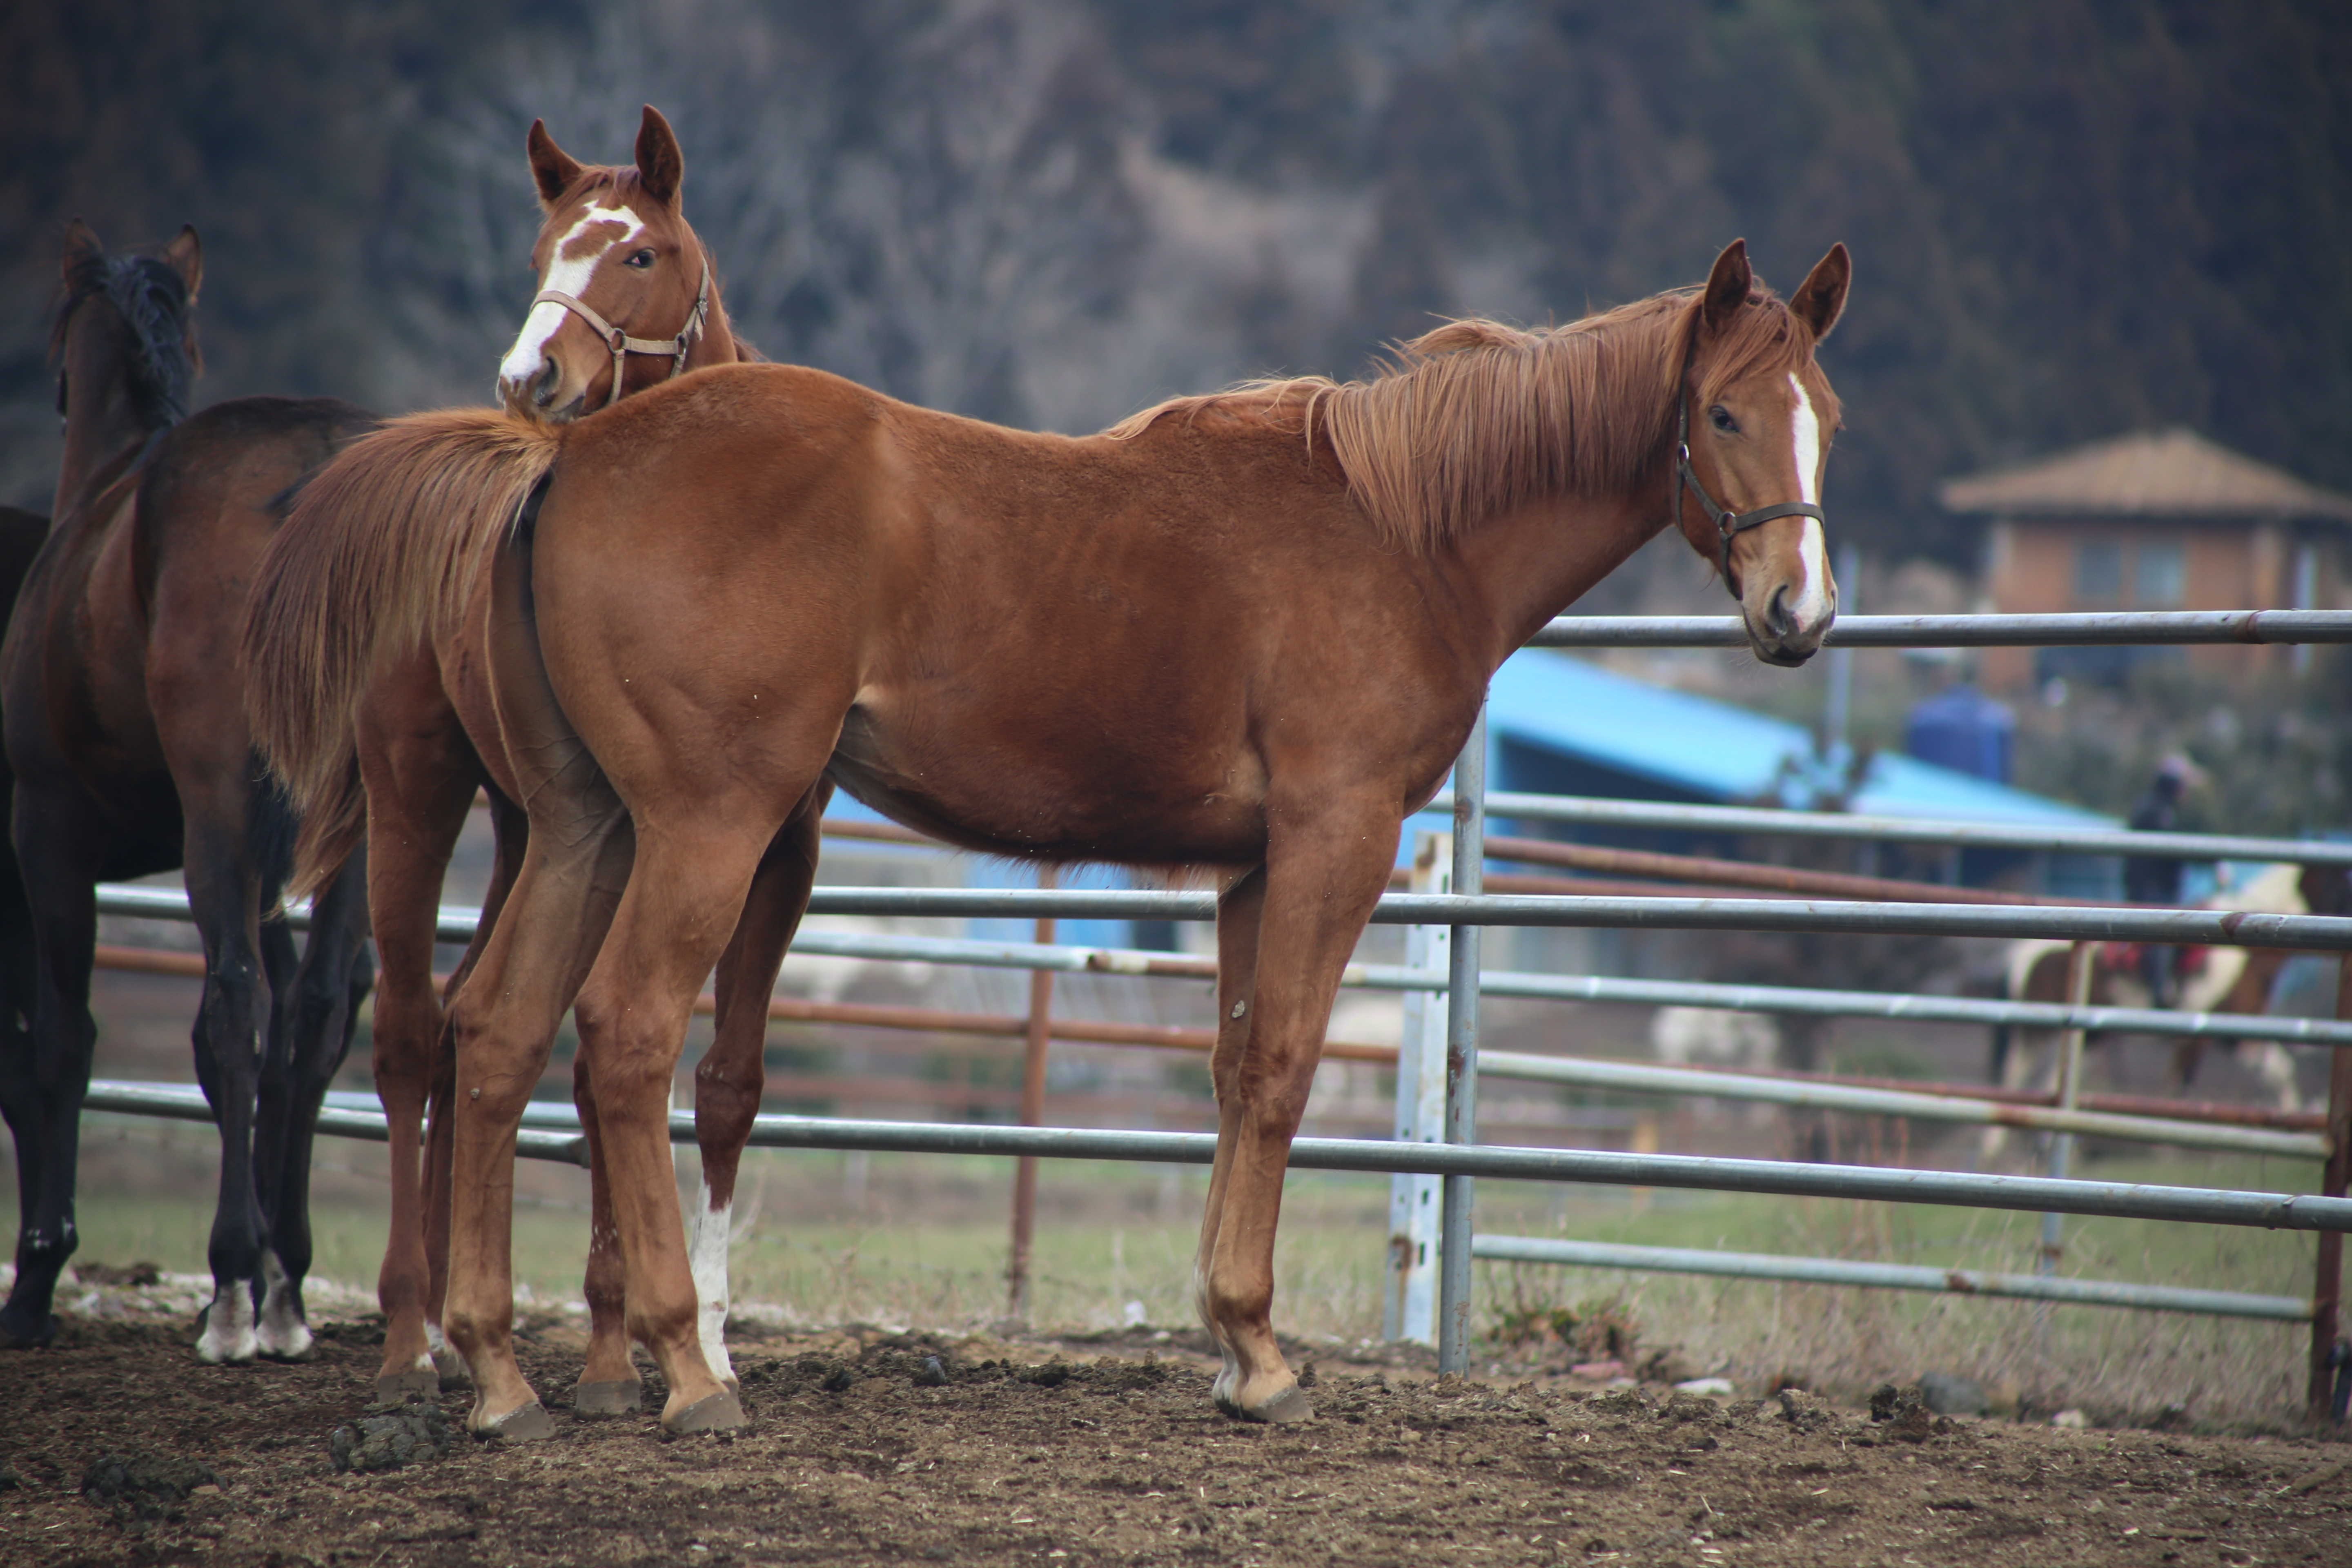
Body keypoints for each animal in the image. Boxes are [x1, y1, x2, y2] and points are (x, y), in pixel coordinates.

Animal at [0, 221, 372, 1363]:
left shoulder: (48, 837)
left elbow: (60, 1044)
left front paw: (37, 1277)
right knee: (319, 1013)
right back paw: (285, 1283)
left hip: (215, 822)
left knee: (232, 1012)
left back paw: (234, 1289)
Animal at [248, 242, 1844, 1439]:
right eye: (1722, 415)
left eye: (1824, 412)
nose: (1802, 614)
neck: (1402, 535)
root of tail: (563, 459)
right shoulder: (1338, 841)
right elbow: (1283, 1069)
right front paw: (1262, 1356)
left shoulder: (1257, 869)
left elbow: (1234, 1073)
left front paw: (1230, 1337)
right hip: (702, 828)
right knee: (625, 1034)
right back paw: (689, 1368)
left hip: (587, 829)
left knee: (497, 1031)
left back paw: (496, 1370)